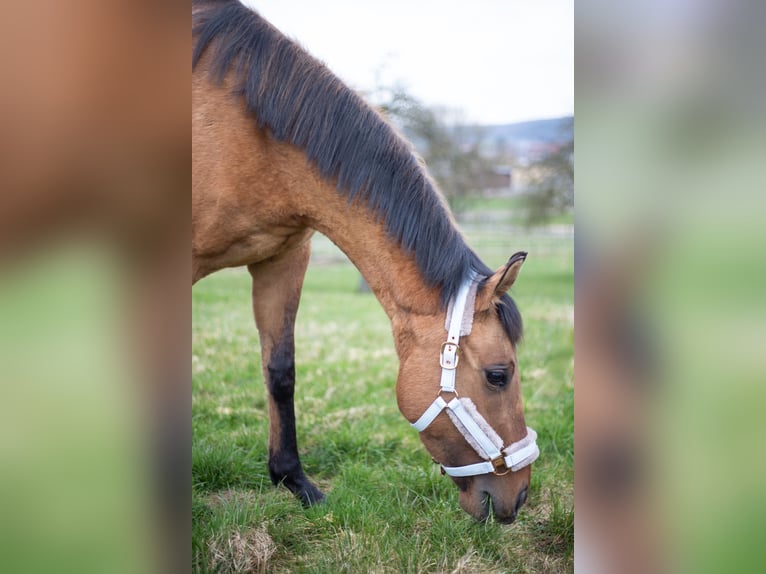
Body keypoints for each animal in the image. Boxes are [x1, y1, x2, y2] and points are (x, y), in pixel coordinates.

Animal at [192, 0, 540, 528]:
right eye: (499, 374)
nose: (518, 497)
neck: (248, 133)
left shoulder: (284, 258)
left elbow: (281, 369)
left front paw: (295, 481)